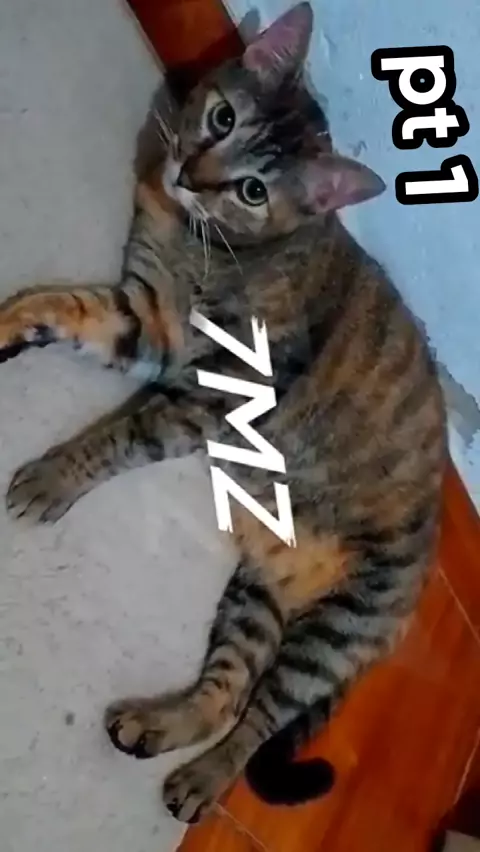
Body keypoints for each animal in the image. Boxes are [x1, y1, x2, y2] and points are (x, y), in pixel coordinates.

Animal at [0, 1, 446, 824]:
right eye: (222, 117)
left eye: (251, 191)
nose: (188, 174)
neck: (194, 237)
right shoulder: (142, 320)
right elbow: (61, 305)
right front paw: (8, 324)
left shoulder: (206, 397)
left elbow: (118, 437)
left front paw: (50, 480)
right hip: (257, 597)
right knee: (229, 693)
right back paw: (156, 727)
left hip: (333, 631)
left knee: (259, 720)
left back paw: (201, 782)